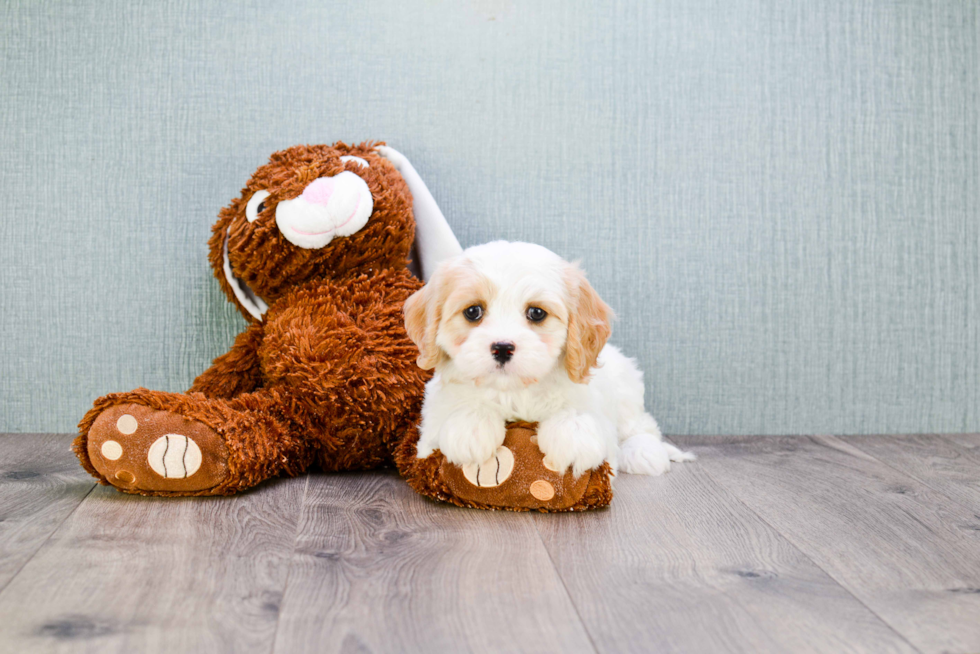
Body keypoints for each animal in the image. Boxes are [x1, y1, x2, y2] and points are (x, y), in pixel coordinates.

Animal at [402, 243, 692, 480]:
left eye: (536, 313)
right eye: (473, 311)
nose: (502, 348)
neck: (515, 391)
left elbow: (578, 412)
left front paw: (572, 438)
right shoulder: (430, 426)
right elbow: (458, 407)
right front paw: (470, 427)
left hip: (626, 390)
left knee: (642, 425)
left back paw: (643, 452)